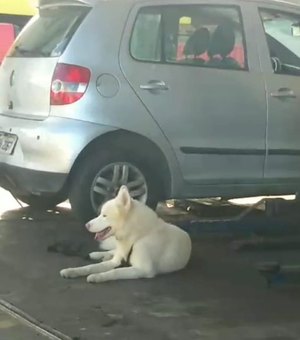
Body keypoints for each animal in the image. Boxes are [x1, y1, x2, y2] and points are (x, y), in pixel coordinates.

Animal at [59, 185, 191, 282]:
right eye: (101, 214)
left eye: (104, 215)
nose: (86, 225)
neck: (137, 236)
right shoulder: (115, 261)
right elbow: (91, 267)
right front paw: (72, 271)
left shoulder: (143, 270)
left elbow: (115, 272)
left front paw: (97, 277)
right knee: (111, 251)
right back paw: (97, 254)